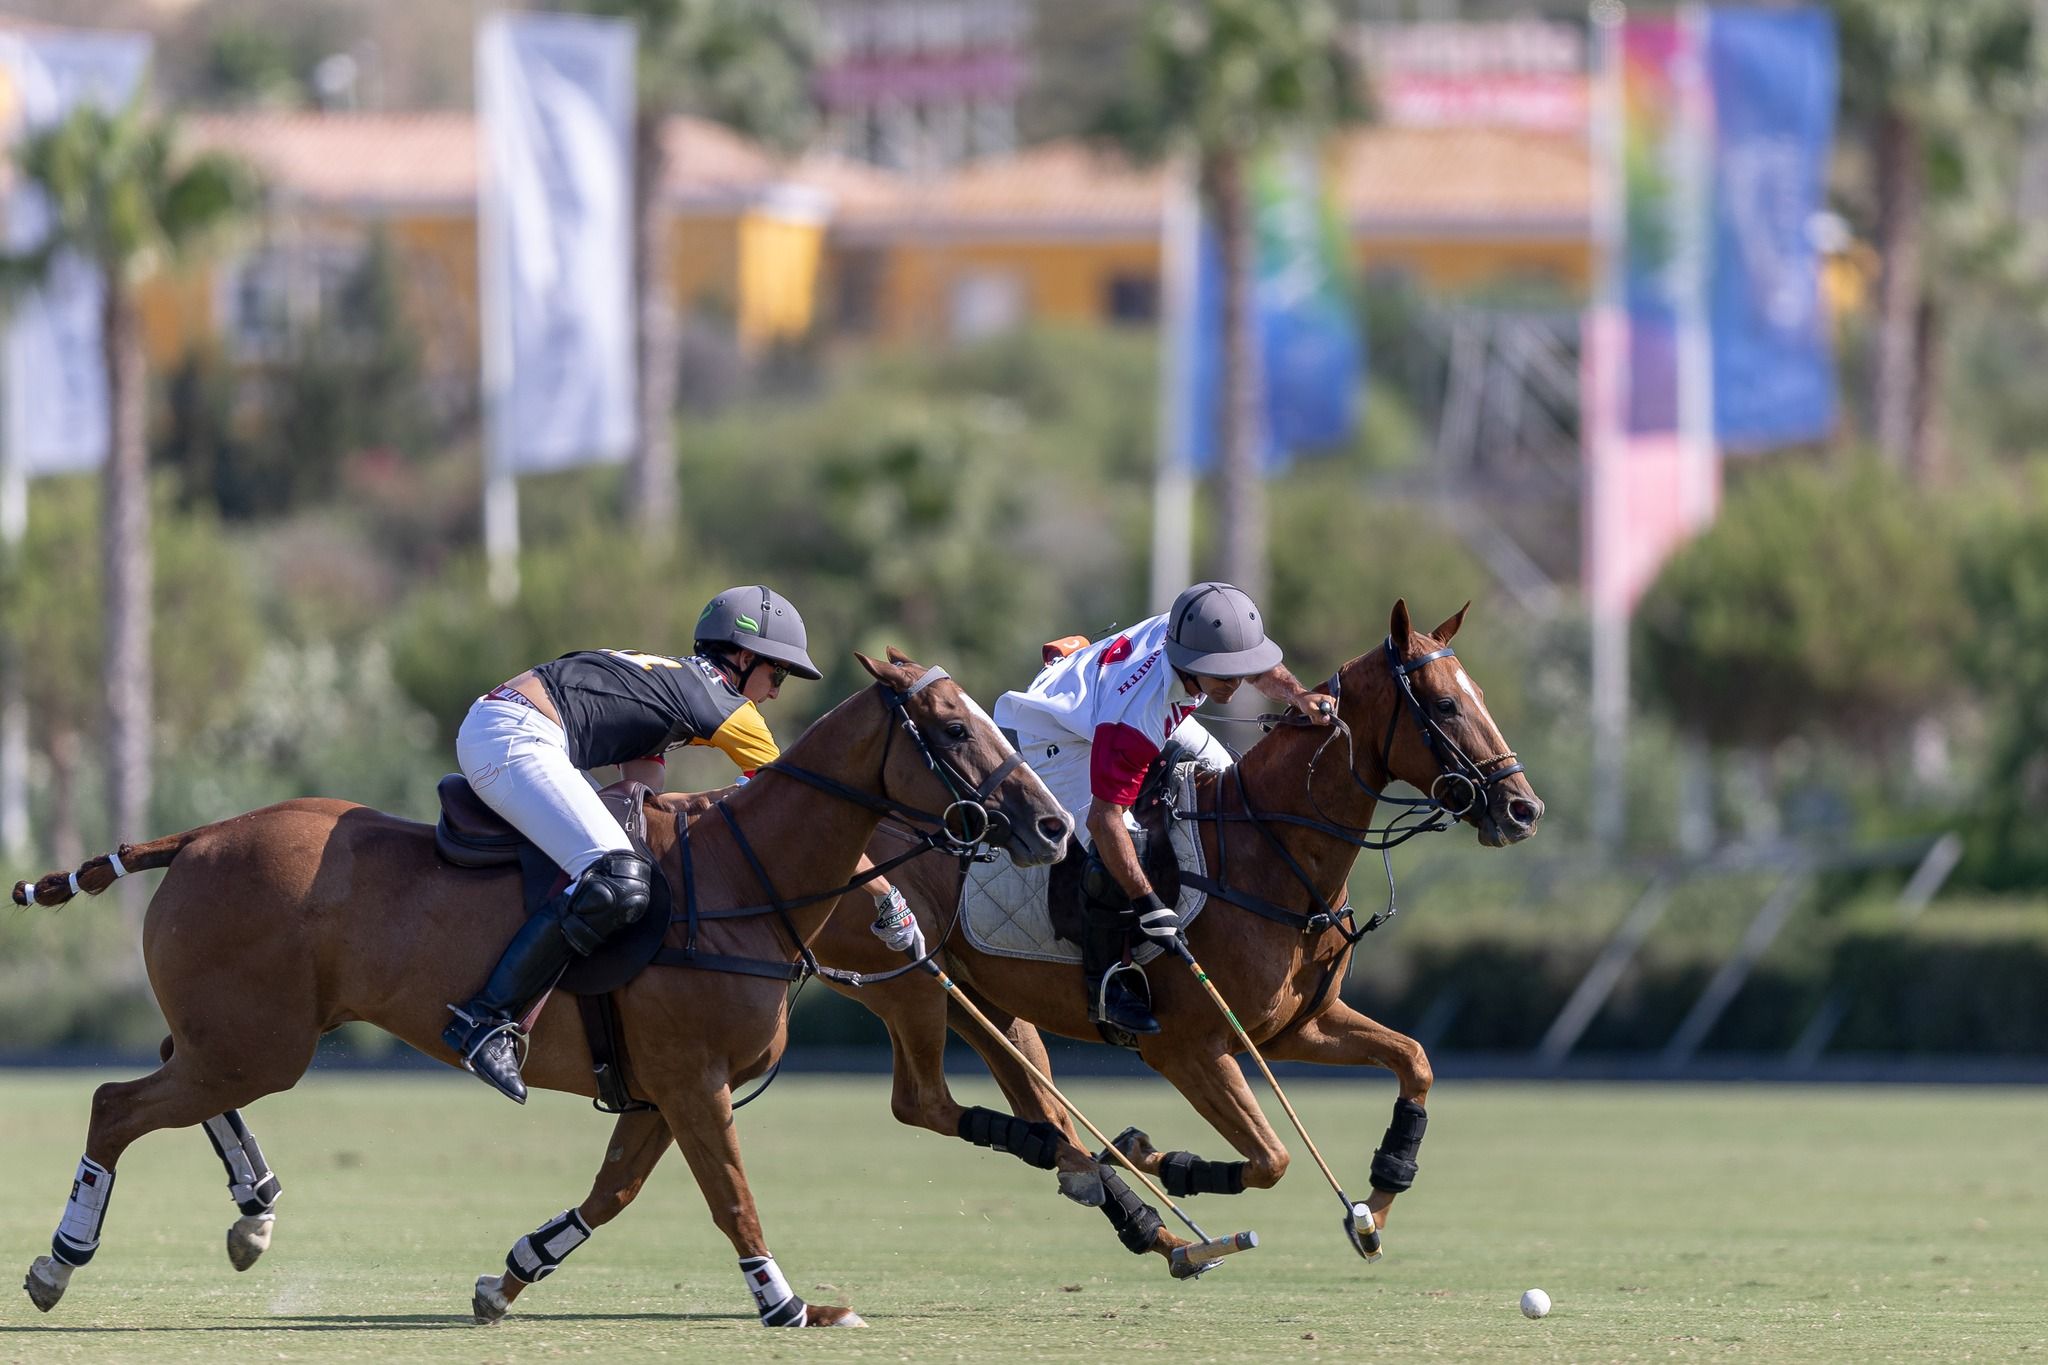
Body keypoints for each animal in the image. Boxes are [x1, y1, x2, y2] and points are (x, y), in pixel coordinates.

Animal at [12, 654, 1073, 1326]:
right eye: (951, 727)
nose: (1053, 827)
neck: (744, 880)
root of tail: (197, 834)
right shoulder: (694, 1081)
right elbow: (731, 1195)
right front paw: (787, 1302)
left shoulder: (661, 1089)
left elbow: (615, 1190)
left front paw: (506, 1278)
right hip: (258, 1041)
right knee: (115, 1103)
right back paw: (61, 1259)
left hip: (241, 1036)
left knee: (172, 1081)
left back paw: (254, 1208)